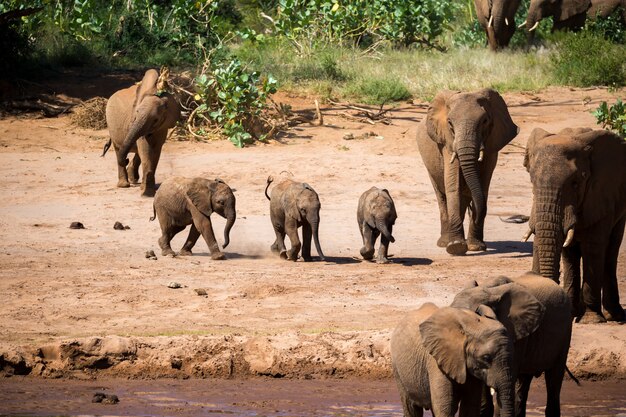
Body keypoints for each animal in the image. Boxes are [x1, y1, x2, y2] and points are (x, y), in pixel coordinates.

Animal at [103, 68, 179, 197]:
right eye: (136, 112)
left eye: (156, 119)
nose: (126, 160)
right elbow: (145, 148)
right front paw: (147, 192)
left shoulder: (162, 126)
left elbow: (156, 150)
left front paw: (147, 190)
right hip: (111, 124)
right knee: (118, 149)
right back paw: (124, 185)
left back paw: (132, 179)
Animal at [390, 300, 540, 417]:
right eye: (486, 357)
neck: (471, 327)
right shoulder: (436, 362)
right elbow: (445, 408)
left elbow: (470, 406)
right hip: (398, 369)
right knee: (411, 408)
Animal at [414, 88, 516, 254]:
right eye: (450, 123)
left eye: (485, 121)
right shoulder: (447, 143)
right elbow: (453, 187)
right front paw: (456, 247)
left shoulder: (492, 144)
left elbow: (483, 188)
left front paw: (475, 247)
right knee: (441, 195)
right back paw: (444, 242)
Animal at [520, 128, 624, 324]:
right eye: (532, 182)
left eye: (576, 183)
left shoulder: (601, 196)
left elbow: (593, 247)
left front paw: (592, 320)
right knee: (571, 254)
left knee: (611, 250)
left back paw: (613, 316)